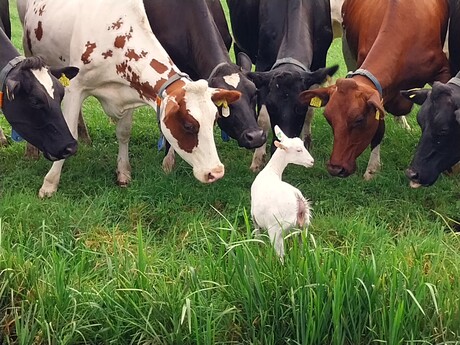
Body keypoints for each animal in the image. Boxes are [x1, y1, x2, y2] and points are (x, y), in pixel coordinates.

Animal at [18, 0, 241, 196]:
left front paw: (123, 172)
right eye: (188, 125)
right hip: (30, 51)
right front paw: (50, 183)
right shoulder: (75, 87)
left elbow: (124, 132)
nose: (216, 172)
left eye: (215, 120)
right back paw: (32, 150)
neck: (116, 36)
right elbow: (68, 129)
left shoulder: (130, 91)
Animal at [227, 0, 338, 171]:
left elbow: (311, 110)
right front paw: (258, 158)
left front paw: (306, 142)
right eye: (272, 107)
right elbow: (263, 118)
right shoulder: (263, 64)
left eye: (300, 108)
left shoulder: (319, 62)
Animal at [298, 0, 450, 179]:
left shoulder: (443, 72)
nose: (335, 168)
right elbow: (379, 129)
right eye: (329, 119)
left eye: (359, 120)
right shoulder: (377, 90)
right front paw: (372, 169)